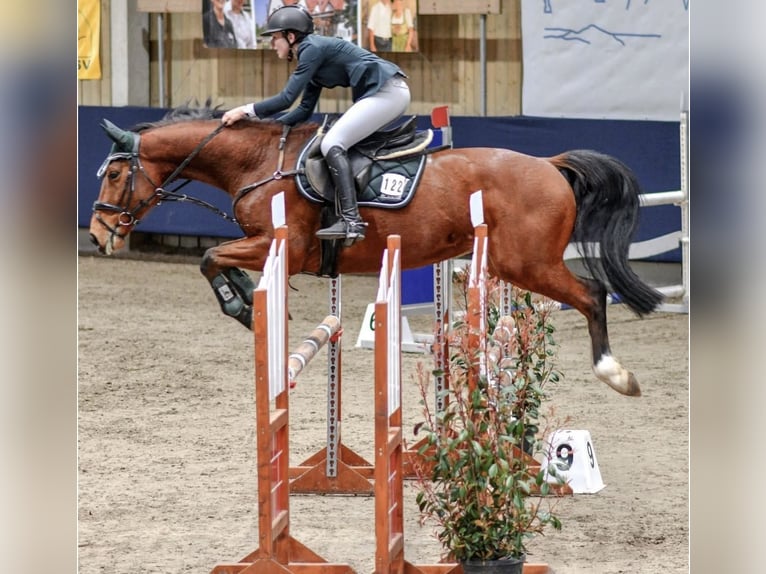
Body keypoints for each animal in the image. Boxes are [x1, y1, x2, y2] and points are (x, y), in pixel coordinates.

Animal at [88, 105, 663, 397]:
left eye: (115, 174)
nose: (97, 234)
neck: (258, 163)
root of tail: (549, 163)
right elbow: (216, 262)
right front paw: (252, 300)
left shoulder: (283, 245)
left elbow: (210, 259)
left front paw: (245, 307)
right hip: (514, 263)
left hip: (527, 262)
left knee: (591, 294)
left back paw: (616, 374)